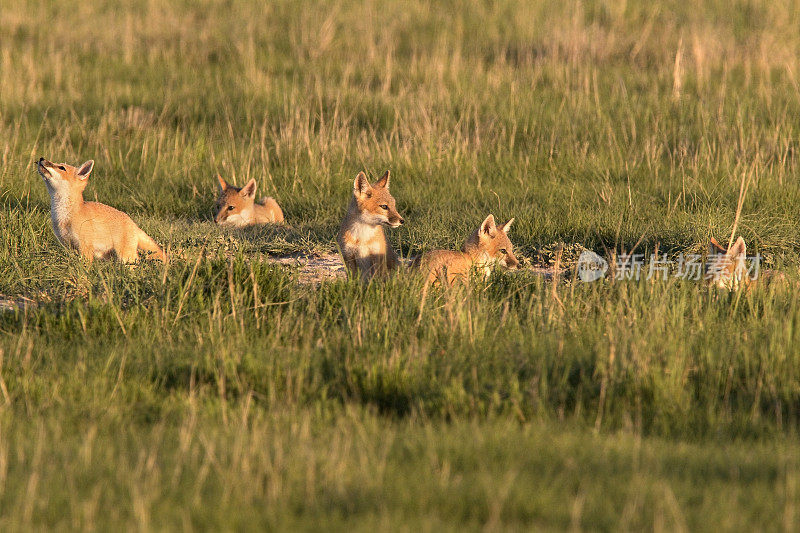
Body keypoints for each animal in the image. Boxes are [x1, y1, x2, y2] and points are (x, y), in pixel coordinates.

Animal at [36, 158, 166, 264]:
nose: (41, 158)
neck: (64, 217)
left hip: (125, 257)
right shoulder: (68, 246)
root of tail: (133, 224)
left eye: (61, 168)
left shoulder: (85, 246)